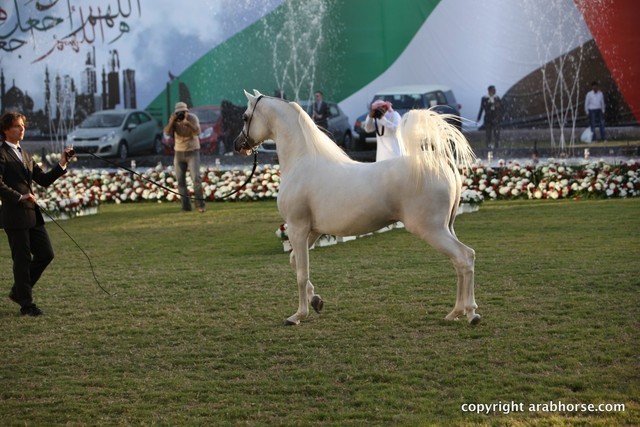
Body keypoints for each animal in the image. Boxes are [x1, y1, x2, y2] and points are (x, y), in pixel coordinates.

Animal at [235, 90, 480, 326]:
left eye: (245, 117)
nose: (238, 145)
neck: (302, 162)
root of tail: (439, 162)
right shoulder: (311, 231)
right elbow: (295, 262)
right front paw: (316, 301)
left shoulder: (297, 229)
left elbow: (301, 274)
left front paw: (298, 315)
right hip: (446, 228)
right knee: (459, 262)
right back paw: (456, 312)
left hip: (431, 230)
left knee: (465, 257)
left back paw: (471, 314)